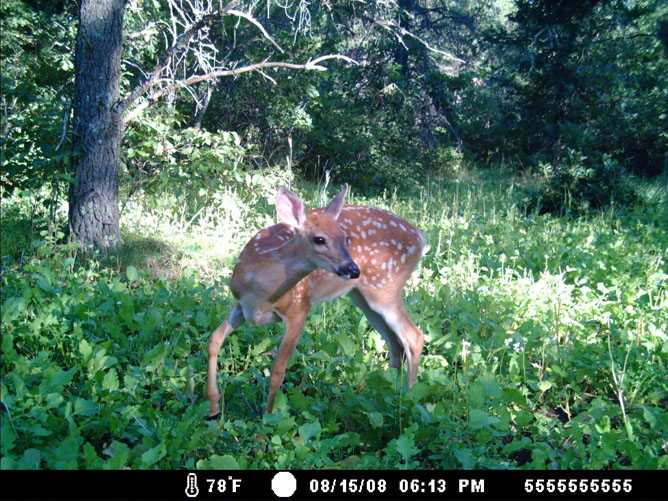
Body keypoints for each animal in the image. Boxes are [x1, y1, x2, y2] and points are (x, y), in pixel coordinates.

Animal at [206, 185, 428, 418]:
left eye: (346, 238)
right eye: (319, 239)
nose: (352, 269)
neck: (262, 293)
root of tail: (421, 240)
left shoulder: (300, 308)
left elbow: (278, 369)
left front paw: (268, 419)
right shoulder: (240, 305)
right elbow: (214, 341)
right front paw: (213, 408)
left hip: (384, 289)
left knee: (414, 337)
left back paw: (409, 400)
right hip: (362, 298)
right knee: (395, 344)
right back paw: (383, 394)